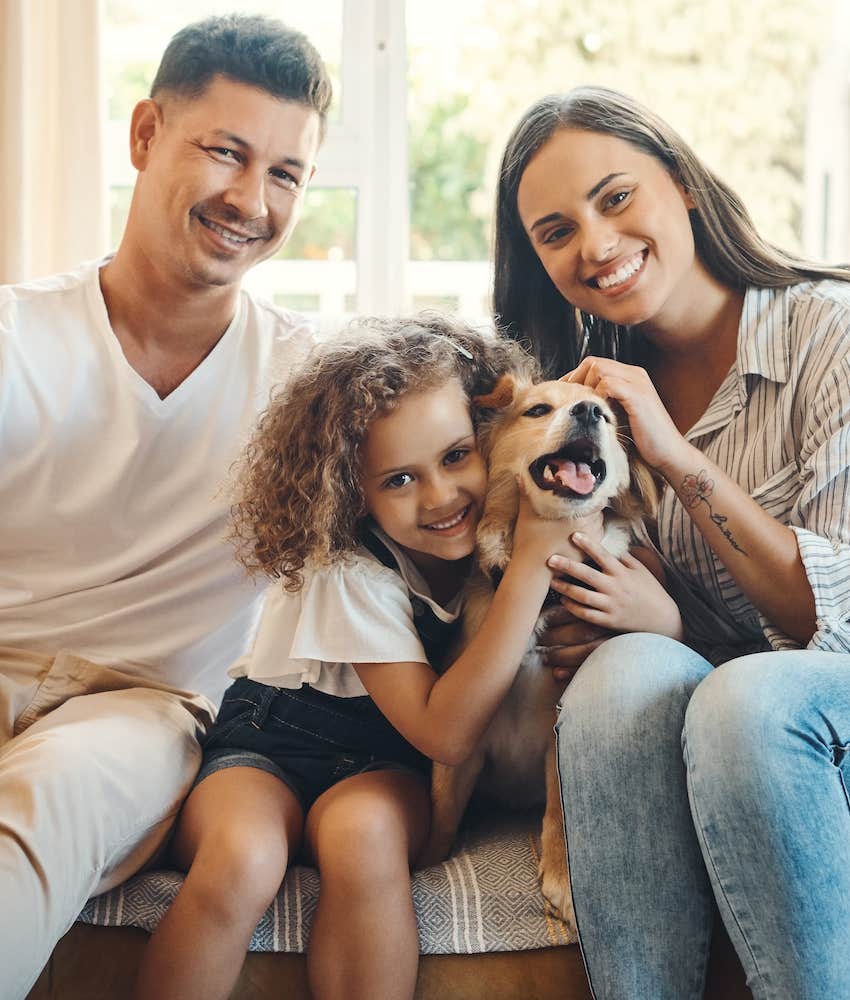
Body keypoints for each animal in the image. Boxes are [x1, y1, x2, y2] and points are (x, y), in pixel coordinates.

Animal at [424, 372, 656, 932]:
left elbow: (559, 814)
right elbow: (441, 817)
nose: (590, 413)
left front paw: (563, 882)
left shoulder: (557, 738)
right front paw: (425, 862)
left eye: (608, 417)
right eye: (538, 411)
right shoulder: (459, 754)